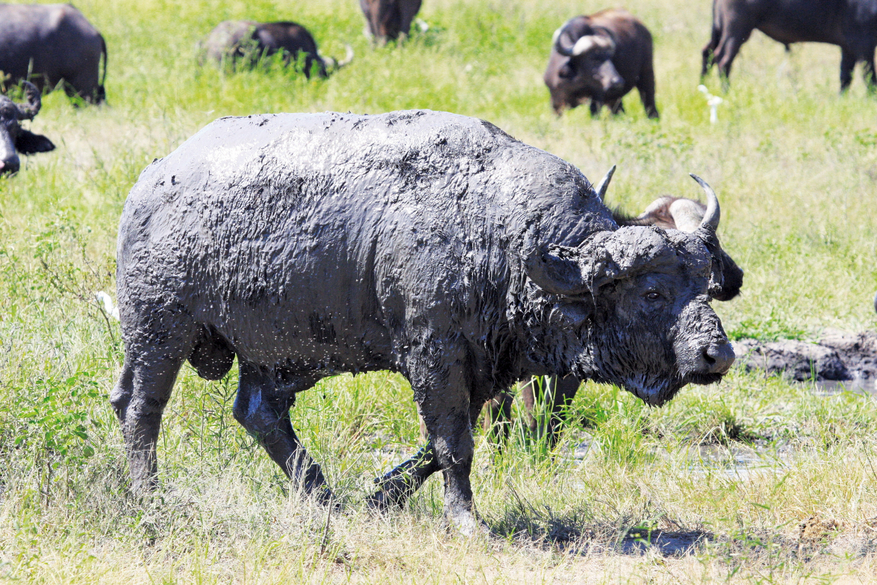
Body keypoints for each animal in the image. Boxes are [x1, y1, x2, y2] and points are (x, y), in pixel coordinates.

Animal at [700, 0, 876, 91]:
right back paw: (726, 92)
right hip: (737, 30)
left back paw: (703, 86)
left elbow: (845, 77)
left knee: (707, 53)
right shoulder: (863, 45)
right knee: (723, 60)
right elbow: (870, 77)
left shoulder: (848, 48)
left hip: (722, 30)